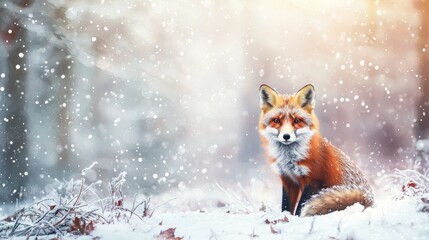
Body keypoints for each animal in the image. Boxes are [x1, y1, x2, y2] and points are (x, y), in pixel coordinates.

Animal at [260, 83, 372, 217]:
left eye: (297, 120)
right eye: (277, 120)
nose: (286, 136)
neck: (290, 159)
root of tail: (369, 199)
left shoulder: (313, 180)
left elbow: (301, 206)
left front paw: (297, 218)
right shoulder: (288, 180)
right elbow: (286, 206)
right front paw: (286, 217)